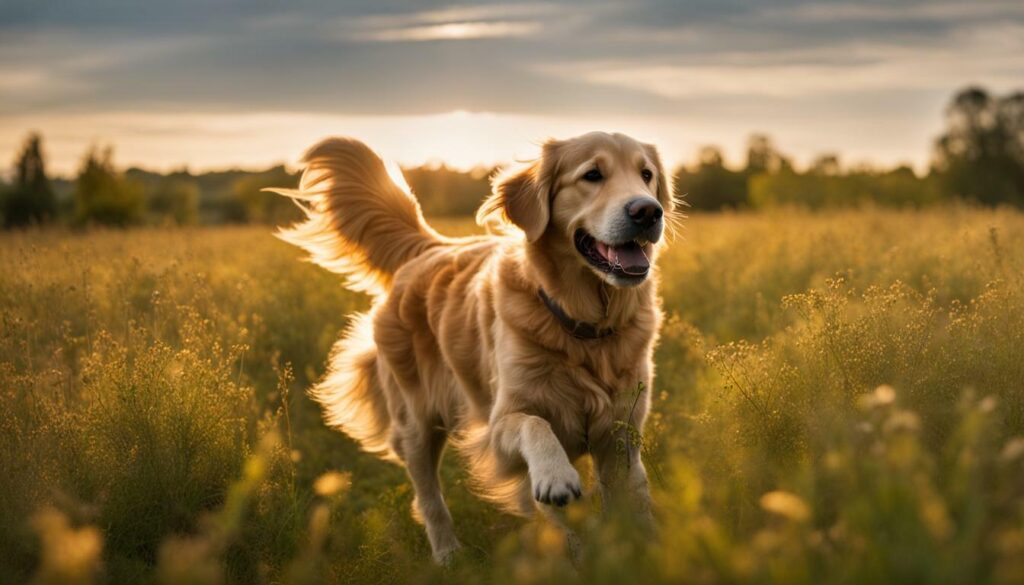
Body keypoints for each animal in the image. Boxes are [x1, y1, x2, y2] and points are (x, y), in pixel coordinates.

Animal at [272, 131, 675, 561]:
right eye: (592, 175)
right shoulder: (496, 428)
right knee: (428, 498)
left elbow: (632, 502)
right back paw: (448, 554)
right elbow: (535, 426)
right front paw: (555, 477)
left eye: (646, 175)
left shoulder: (621, 436)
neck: (584, 328)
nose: (648, 212)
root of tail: (428, 247)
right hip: (415, 422)